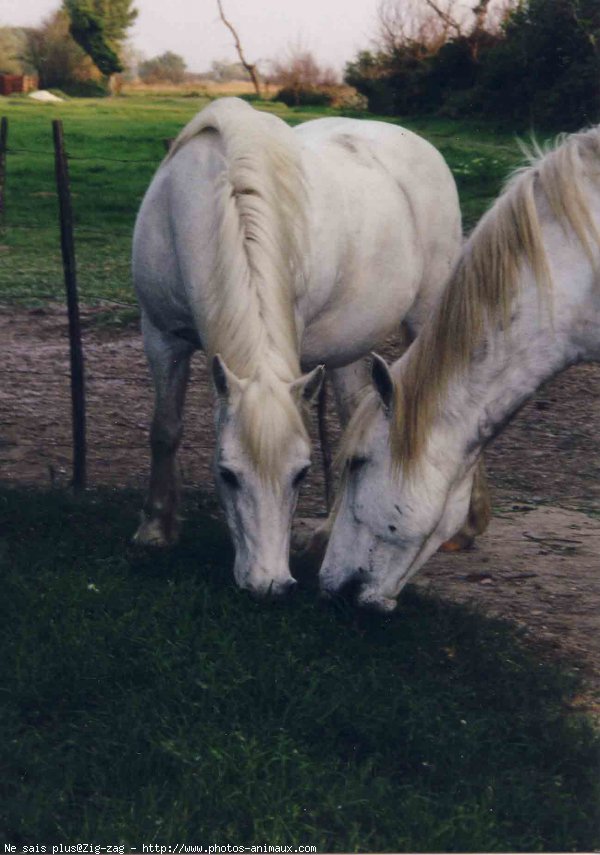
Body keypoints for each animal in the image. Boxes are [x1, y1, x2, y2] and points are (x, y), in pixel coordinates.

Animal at [132, 97, 468, 600]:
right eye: (227, 474)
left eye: (301, 473)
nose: (269, 583)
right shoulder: (160, 335)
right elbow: (164, 430)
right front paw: (156, 529)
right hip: (350, 350)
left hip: (424, 318)